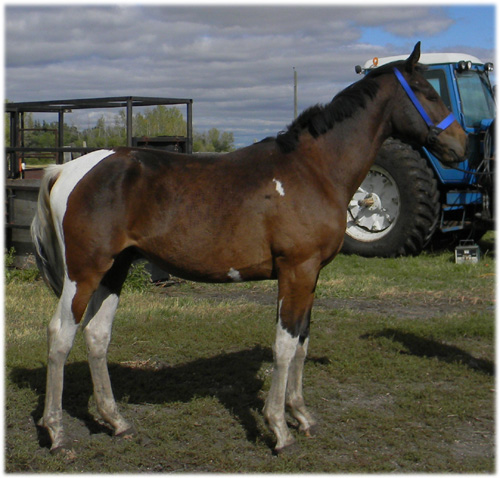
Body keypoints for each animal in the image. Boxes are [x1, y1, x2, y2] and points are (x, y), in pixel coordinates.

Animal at [31, 42, 467, 454]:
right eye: (430, 92)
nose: (461, 146)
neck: (313, 170)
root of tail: (66, 169)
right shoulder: (297, 270)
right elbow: (285, 346)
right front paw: (279, 429)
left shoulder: (310, 277)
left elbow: (302, 344)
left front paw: (301, 416)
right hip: (84, 272)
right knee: (60, 335)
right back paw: (56, 432)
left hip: (115, 269)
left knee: (96, 335)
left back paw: (116, 421)